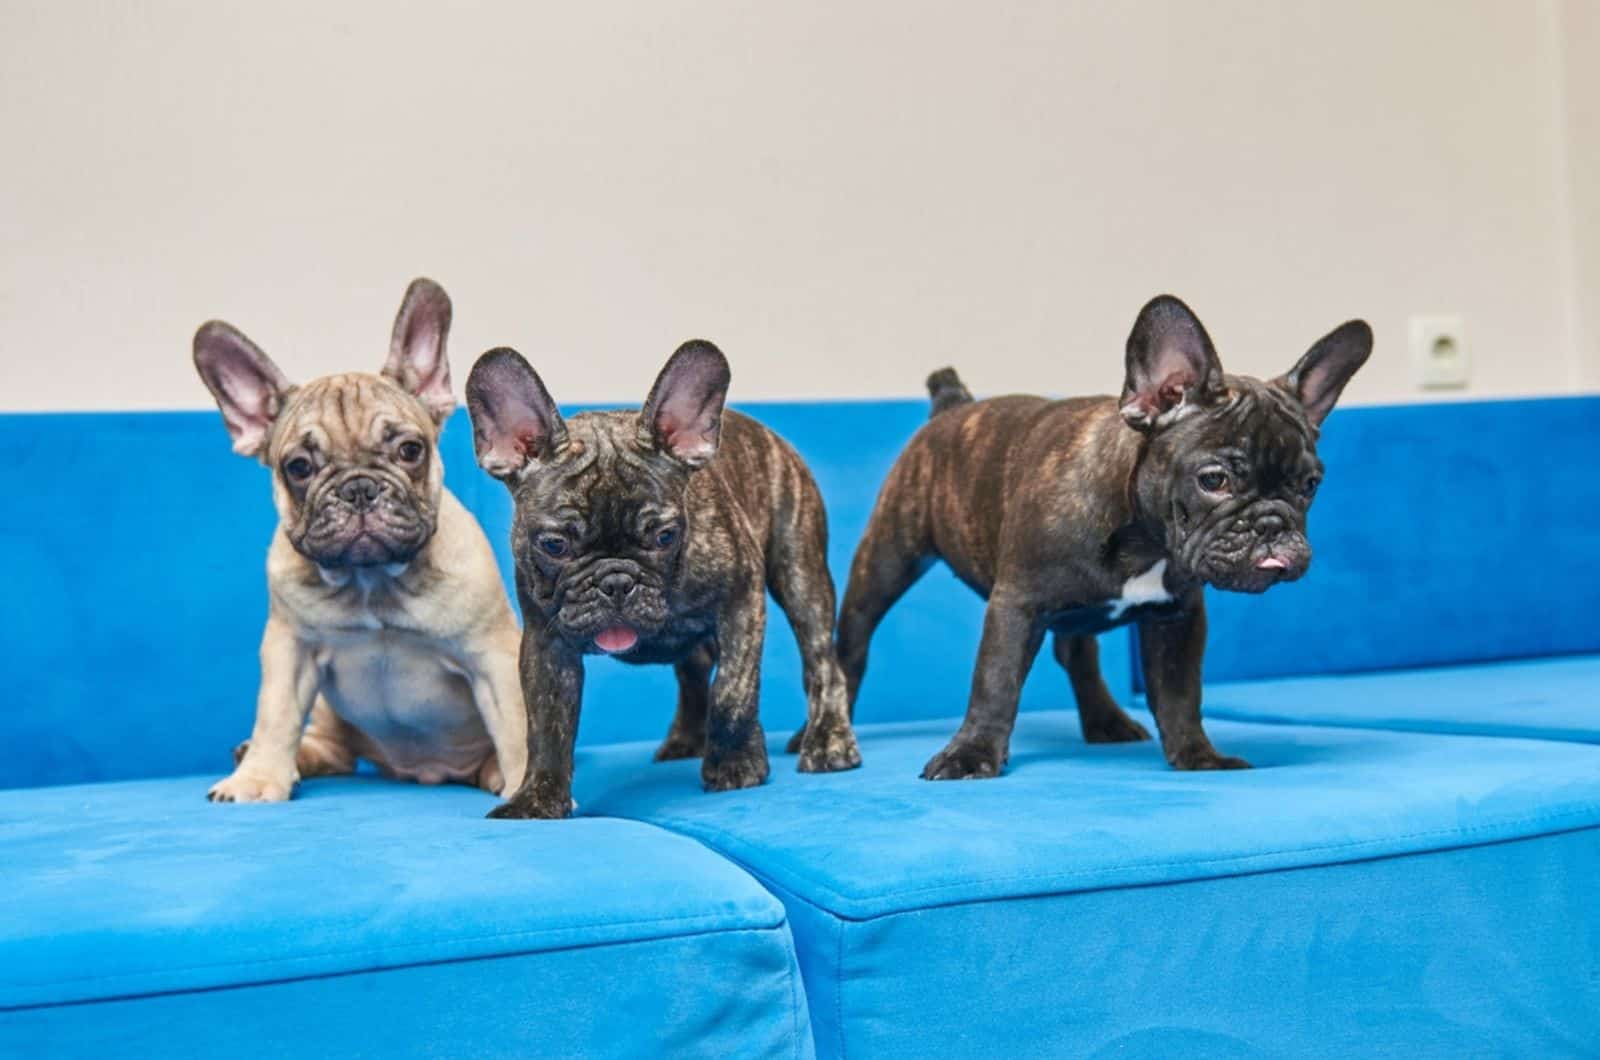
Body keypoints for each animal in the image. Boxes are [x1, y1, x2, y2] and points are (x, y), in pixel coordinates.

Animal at [195, 278, 524, 800]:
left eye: (410, 450)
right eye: (298, 467)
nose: (359, 488)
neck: (371, 581)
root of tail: (423, 771)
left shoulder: (493, 654)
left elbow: (516, 728)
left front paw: (527, 784)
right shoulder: (289, 649)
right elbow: (275, 717)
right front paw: (257, 778)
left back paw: (494, 773)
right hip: (330, 714)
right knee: (331, 747)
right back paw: (278, 758)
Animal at [464, 341, 864, 819]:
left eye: (665, 536)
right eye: (554, 545)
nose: (616, 581)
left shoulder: (742, 602)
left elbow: (733, 692)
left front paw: (736, 765)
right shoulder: (547, 645)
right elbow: (546, 726)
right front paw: (538, 797)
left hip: (801, 577)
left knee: (821, 661)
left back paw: (827, 742)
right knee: (694, 673)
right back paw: (685, 740)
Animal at [832, 296, 1369, 781]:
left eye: (1310, 485)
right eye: (1214, 480)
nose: (1273, 524)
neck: (1146, 539)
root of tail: (953, 406)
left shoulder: (1178, 618)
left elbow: (1181, 693)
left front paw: (1198, 756)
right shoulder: (1015, 606)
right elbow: (995, 683)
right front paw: (971, 755)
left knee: (1077, 653)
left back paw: (1105, 720)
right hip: (885, 563)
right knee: (853, 645)